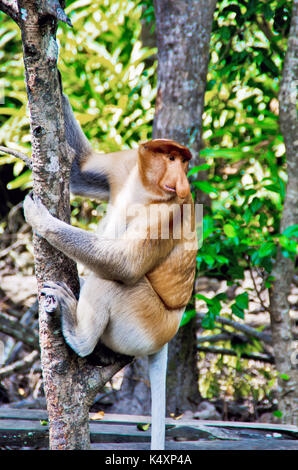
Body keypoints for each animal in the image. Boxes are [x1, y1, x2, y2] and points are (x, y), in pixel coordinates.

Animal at [23, 93, 198, 450]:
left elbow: (125, 264)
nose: (183, 180)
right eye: (172, 157)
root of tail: (167, 335)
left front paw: (40, 218)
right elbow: (80, 168)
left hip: (146, 325)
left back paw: (78, 334)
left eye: (183, 161)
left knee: (112, 280)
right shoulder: (126, 164)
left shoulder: (169, 213)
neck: (146, 189)